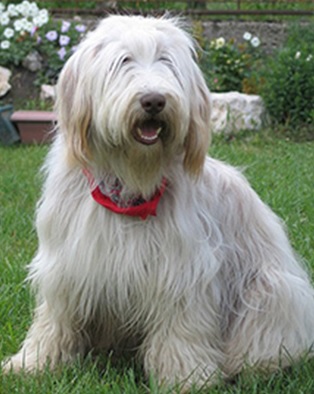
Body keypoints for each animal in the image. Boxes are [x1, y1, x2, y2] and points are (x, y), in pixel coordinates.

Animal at [2, 14, 314, 388]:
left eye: (167, 61)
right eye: (123, 61)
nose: (153, 100)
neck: (129, 183)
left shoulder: (181, 271)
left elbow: (180, 330)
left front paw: (187, 377)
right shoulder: (65, 266)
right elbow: (54, 320)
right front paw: (35, 364)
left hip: (269, 291)